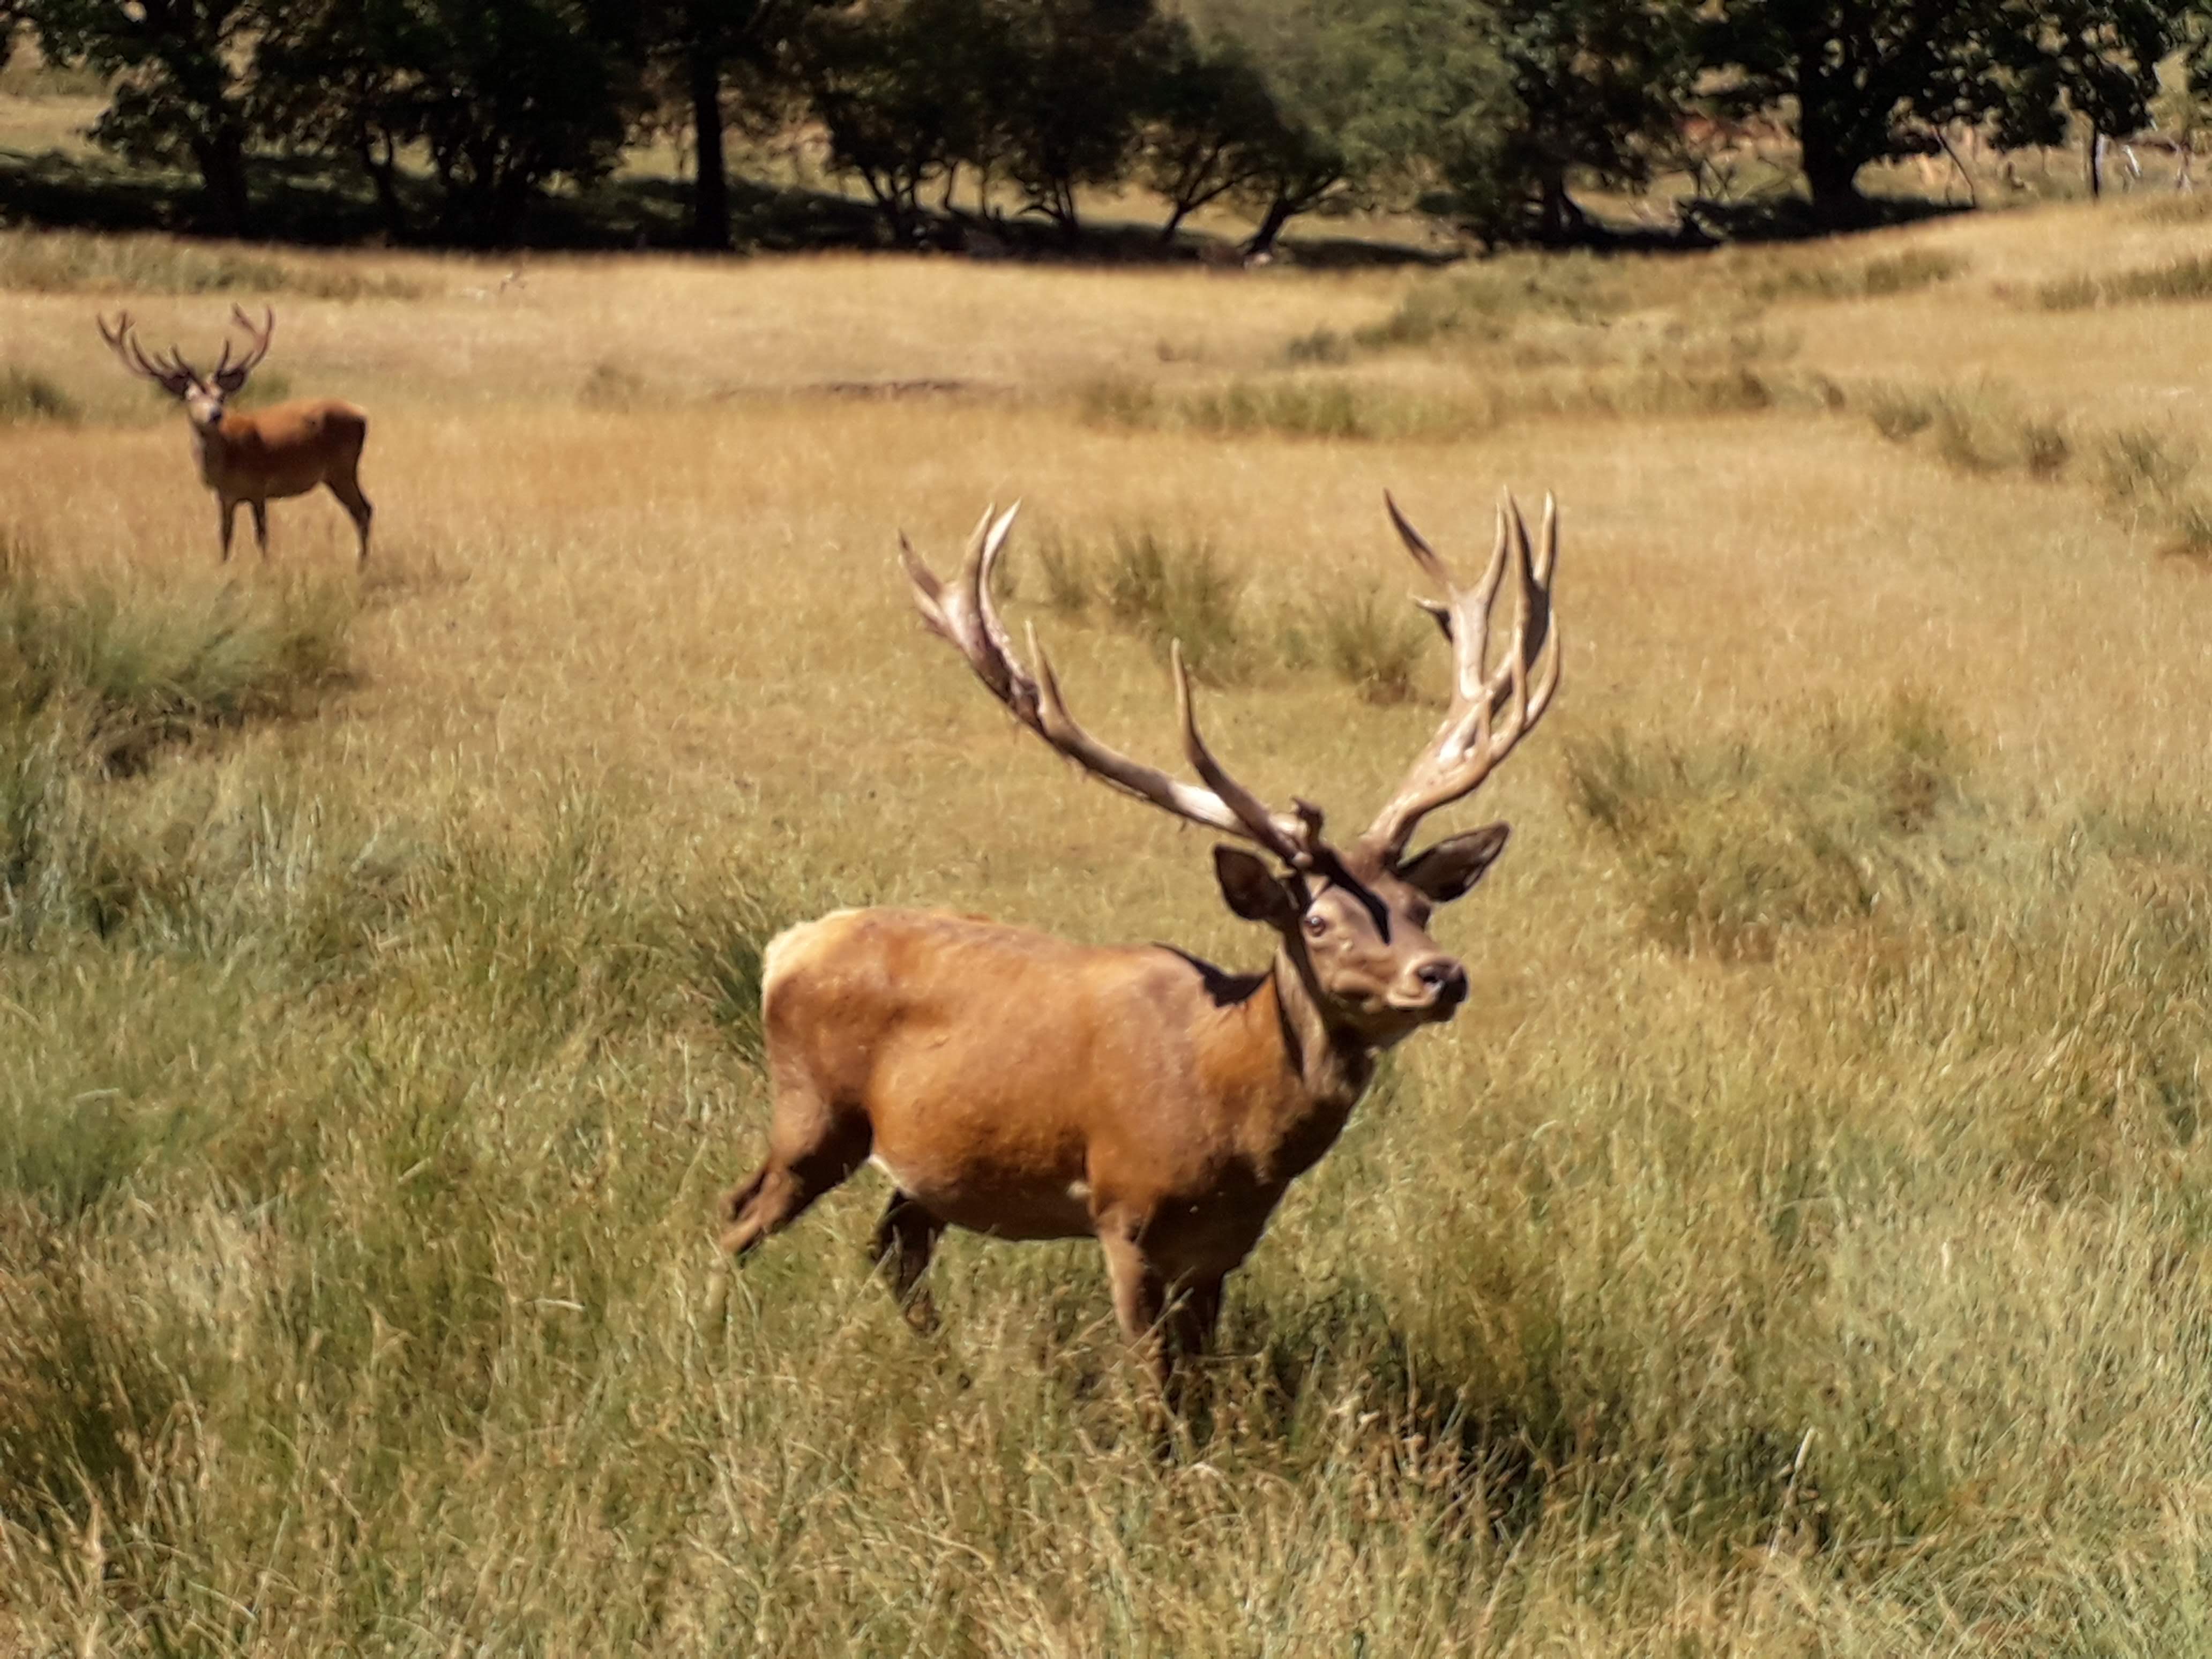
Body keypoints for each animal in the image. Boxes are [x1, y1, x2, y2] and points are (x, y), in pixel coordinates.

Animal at [97, 306, 374, 566]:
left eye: (221, 396)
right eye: (191, 397)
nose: (215, 415)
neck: (227, 461)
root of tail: (362, 416)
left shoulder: (259, 486)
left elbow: (262, 535)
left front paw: (265, 568)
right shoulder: (224, 496)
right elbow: (225, 535)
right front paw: (223, 566)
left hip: (341, 468)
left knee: (363, 510)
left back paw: (360, 565)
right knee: (363, 510)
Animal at [710, 491, 1562, 1391]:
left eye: (1420, 906)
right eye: (1318, 921)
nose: (1442, 975)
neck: (1233, 1123)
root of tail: (788, 946)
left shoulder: (1224, 1249)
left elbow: (1203, 1383)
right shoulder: (1126, 1213)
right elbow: (1155, 1390)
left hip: (927, 1164)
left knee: (892, 1248)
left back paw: (951, 1372)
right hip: (814, 1112)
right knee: (739, 1212)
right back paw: (708, 1335)